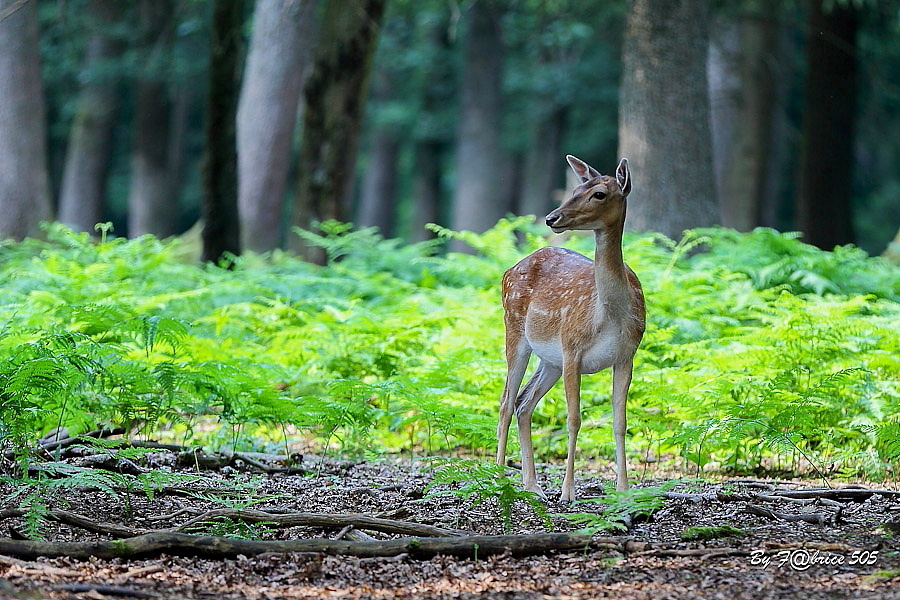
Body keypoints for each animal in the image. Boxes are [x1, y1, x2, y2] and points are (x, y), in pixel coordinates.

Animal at [496, 155, 644, 502]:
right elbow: (574, 419)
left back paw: (533, 486)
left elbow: (620, 422)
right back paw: (496, 476)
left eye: (599, 193)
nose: (552, 218)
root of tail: (508, 270)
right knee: (506, 402)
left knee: (523, 403)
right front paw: (568, 492)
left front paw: (624, 490)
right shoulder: (572, 348)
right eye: (576, 189)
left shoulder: (626, 356)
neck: (610, 317)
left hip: (549, 360)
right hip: (515, 331)